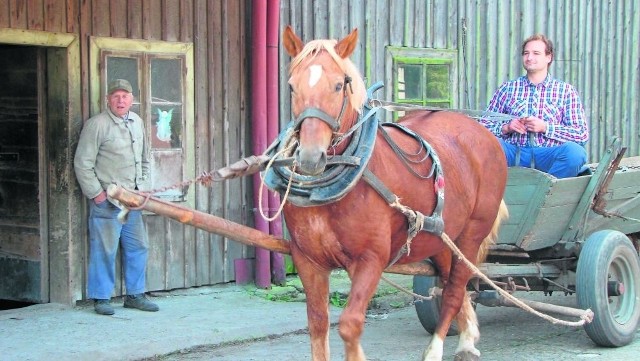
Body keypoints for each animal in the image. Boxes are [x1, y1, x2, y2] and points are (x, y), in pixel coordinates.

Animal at [276, 26, 510, 360]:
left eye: (338, 85)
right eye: (292, 86)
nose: (310, 157)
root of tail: (483, 132)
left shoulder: (370, 258)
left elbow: (349, 324)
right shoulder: (308, 259)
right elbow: (318, 325)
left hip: (471, 234)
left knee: (454, 291)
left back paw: (437, 349)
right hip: (441, 237)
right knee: (453, 283)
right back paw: (467, 338)